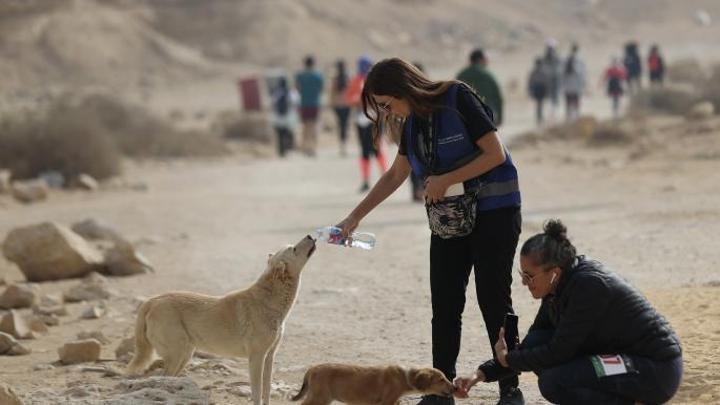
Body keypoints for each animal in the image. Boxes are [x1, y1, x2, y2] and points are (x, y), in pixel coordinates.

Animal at [126, 234, 316, 404]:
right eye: (294, 249)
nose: (310, 235)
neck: (270, 298)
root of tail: (152, 300)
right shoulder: (256, 357)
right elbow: (257, 392)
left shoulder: (269, 356)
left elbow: (267, 390)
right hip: (177, 353)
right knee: (163, 378)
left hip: (185, 353)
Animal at [292, 362, 456, 404]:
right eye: (441, 380)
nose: (455, 388)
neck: (405, 377)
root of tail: (312, 368)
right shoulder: (386, 402)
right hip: (319, 397)